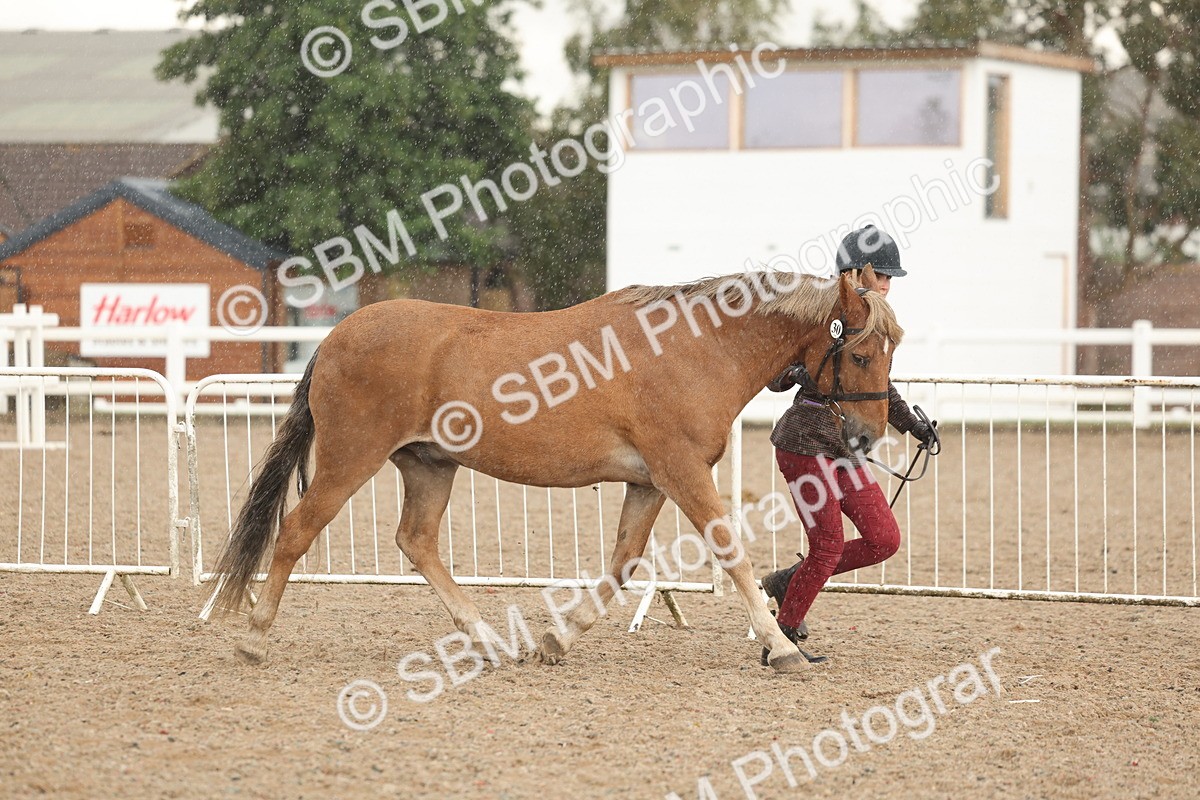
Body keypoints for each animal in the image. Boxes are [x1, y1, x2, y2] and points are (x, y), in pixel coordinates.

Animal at [208, 265, 903, 674]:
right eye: (862, 352)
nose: (866, 436)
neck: (693, 347)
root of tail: (334, 338)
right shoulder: (680, 471)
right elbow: (730, 552)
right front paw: (781, 647)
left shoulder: (648, 481)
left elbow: (623, 563)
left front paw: (558, 640)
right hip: (350, 459)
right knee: (296, 532)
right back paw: (253, 638)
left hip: (429, 466)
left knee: (417, 541)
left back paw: (487, 641)